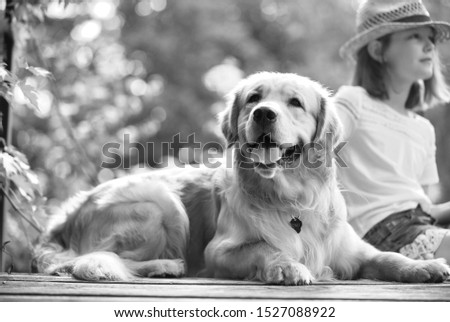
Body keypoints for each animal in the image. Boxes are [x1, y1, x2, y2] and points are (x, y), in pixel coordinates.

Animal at [35, 73, 450, 284]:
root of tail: (67, 214)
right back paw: (165, 265)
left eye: (295, 103)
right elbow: (264, 248)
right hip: (162, 203)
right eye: (253, 97)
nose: (264, 113)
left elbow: (389, 256)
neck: (292, 199)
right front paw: (287, 266)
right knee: (93, 258)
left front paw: (424, 267)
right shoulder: (219, 251)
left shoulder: (353, 251)